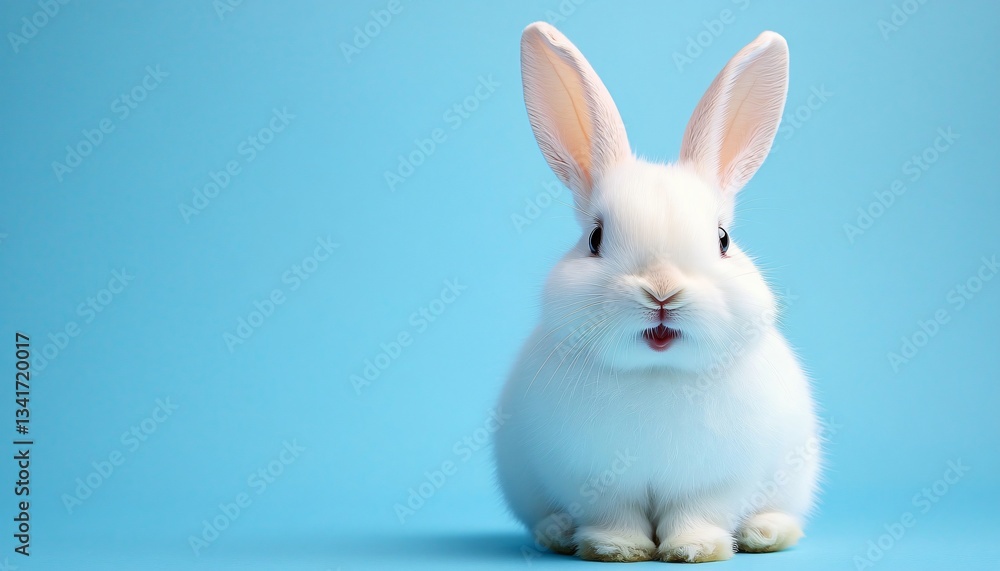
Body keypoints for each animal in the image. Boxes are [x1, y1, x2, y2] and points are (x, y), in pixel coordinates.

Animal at [493, 22, 820, 563]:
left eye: (723, 239)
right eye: (595, 239)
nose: (663, 292)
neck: (657, 373)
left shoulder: (715, 482)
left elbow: (697, 513)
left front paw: (694, 549)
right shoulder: (595, 480)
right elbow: (615, 515)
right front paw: (615, 549)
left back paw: (765, 533)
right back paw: (556, 532)